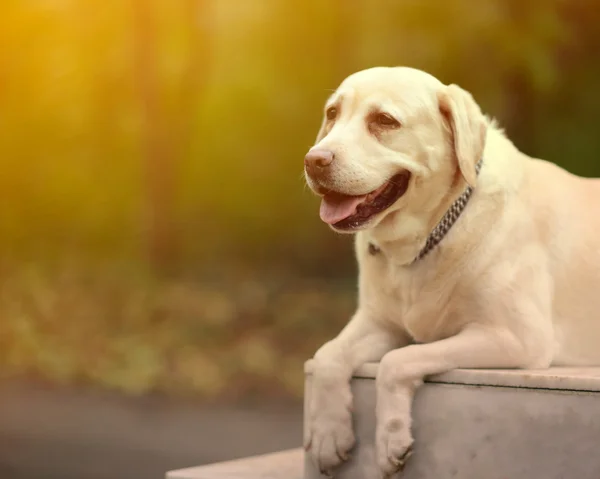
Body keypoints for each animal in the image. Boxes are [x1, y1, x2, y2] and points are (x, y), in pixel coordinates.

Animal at [302, 65, 600, 478]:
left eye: (384, 120)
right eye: (332, 114)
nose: (314, 160)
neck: (426, 237)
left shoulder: (517, 337)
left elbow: (397, 361)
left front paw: (390, 438)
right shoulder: (380, 322)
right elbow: (327, 353)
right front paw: (328, 434)